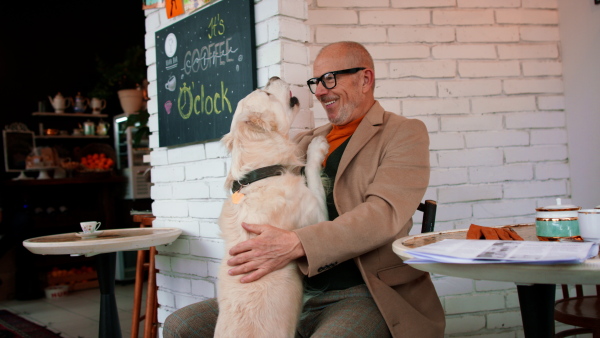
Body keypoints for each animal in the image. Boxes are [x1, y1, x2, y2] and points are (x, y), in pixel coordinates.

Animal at [216, 77, 328, 338]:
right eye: (267, 93)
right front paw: (316, 148)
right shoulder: (317, 215)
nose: (273, 77)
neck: (259, 174)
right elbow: (311, 173)